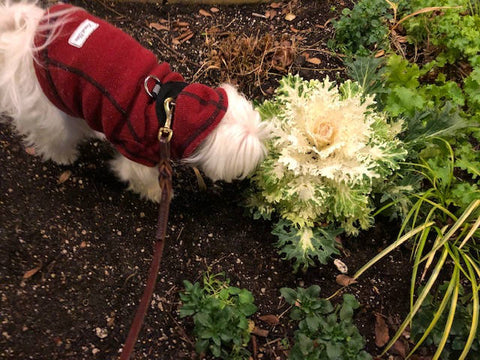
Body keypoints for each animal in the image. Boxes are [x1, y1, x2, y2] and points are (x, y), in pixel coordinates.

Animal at [0, 1, 268, 201]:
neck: (172, 108)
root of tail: (28, 35)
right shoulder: (139, 152)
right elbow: (140, 177)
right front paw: (159, 195)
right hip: (49, 105)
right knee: (53, 134)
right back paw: (62, 155)